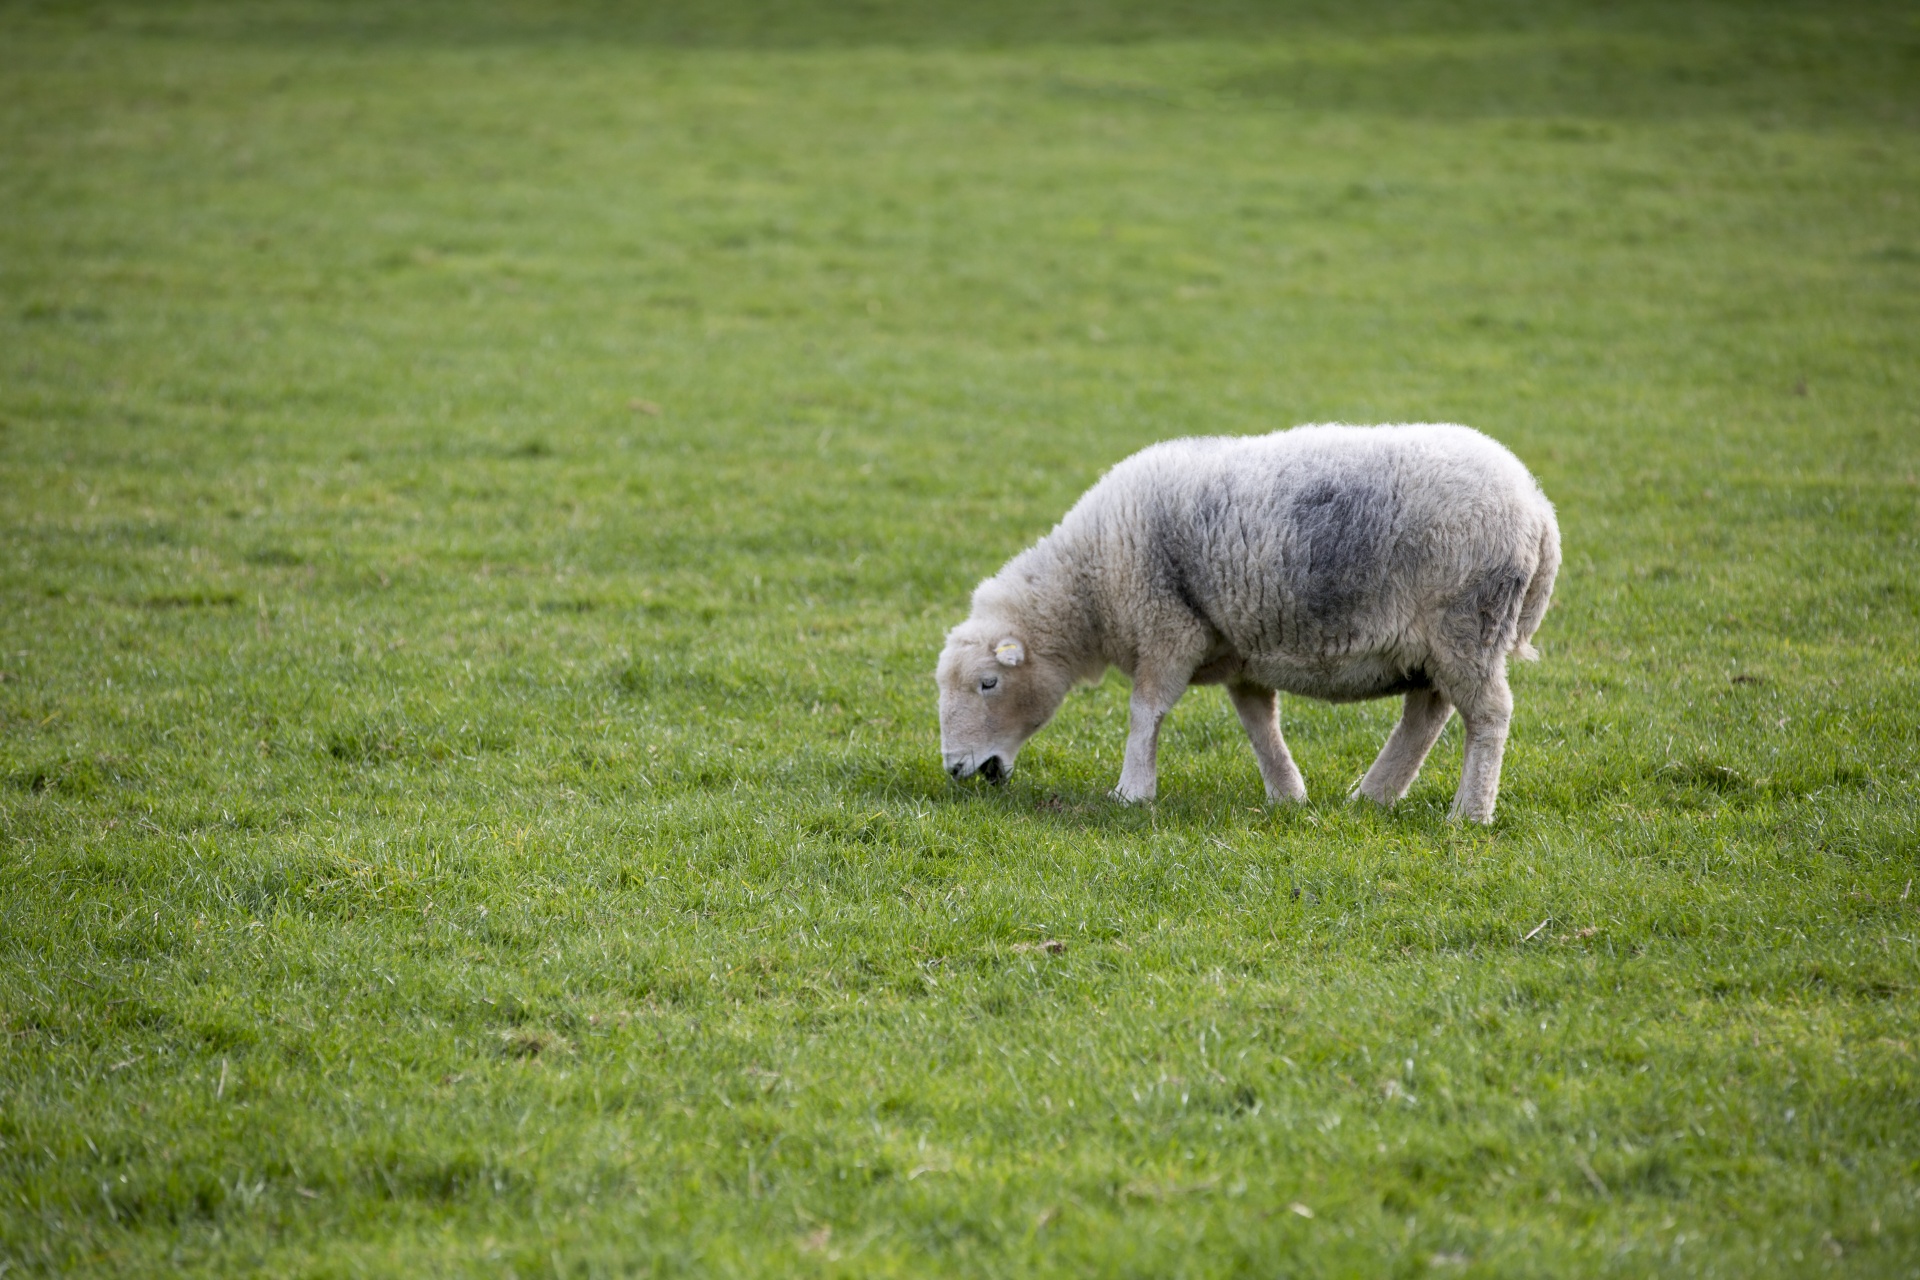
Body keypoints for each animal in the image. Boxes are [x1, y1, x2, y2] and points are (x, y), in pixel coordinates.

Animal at [933, 420, 1559, 821]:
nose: (957, 770)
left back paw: (1469, 813)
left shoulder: (1167, 624)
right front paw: (1288, 794)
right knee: (1426, 714)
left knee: (1488, 715)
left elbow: (1145, 712)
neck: (1090, 584)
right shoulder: (1240, 648)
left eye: (988, 684)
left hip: (1466, 625)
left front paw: (1132, 792)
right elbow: (1260, 724)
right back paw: (1373, 796)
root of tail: (1539, 508)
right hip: (1436, 642)